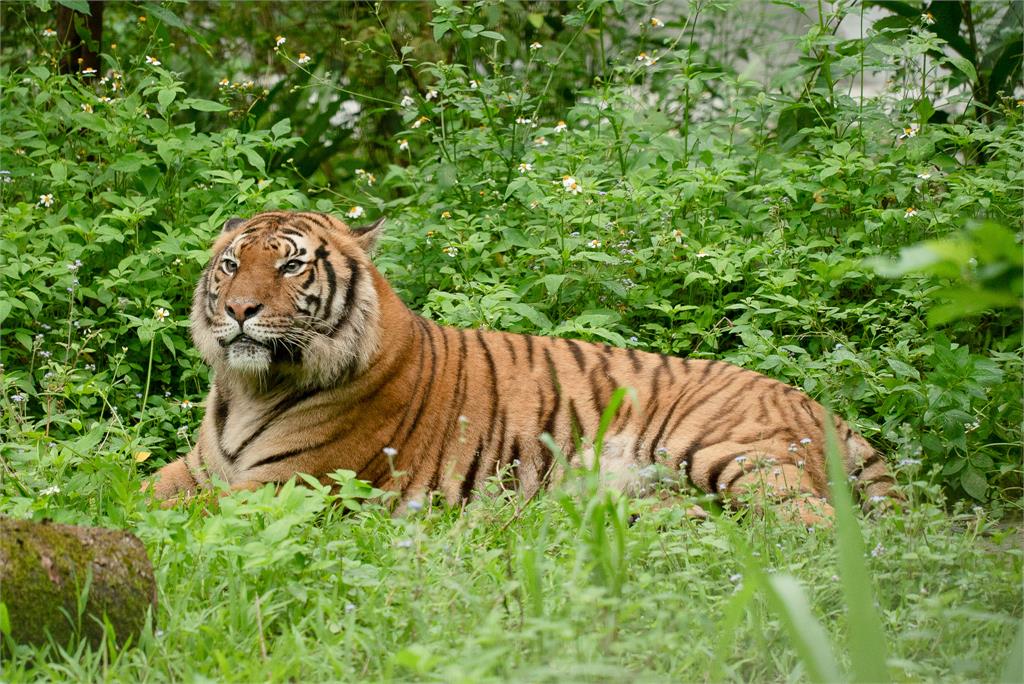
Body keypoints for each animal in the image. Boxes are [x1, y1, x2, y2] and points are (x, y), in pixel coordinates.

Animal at [149, 208, 897, 524]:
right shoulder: (198, 468)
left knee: (822, 533)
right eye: (230, 265)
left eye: (291, 265)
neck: (249, 386)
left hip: (734, 454)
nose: (239, 310)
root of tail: (820, 404)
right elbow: (138, 490)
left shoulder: (288, 484)